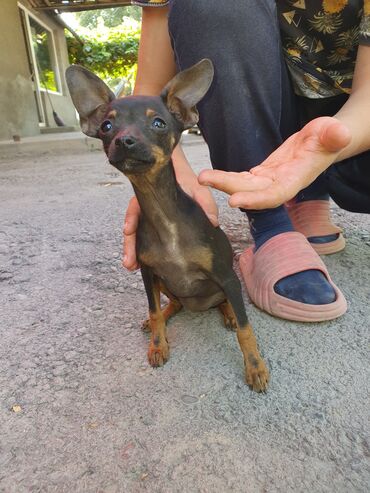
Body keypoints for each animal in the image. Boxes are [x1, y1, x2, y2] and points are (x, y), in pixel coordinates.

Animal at [66, 59, 268, 390]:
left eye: (159, 123)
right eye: (107, 126)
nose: (124, 140)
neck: (163, 214)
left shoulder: (226, 275)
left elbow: (245, 328)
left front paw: (255, 367)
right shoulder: (148, 273)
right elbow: (153, 309)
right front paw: (158, 343)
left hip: (225, 284)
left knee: (225, 302)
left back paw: (226, 312)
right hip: (165, 284)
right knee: (174, 304)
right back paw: (164, 315)